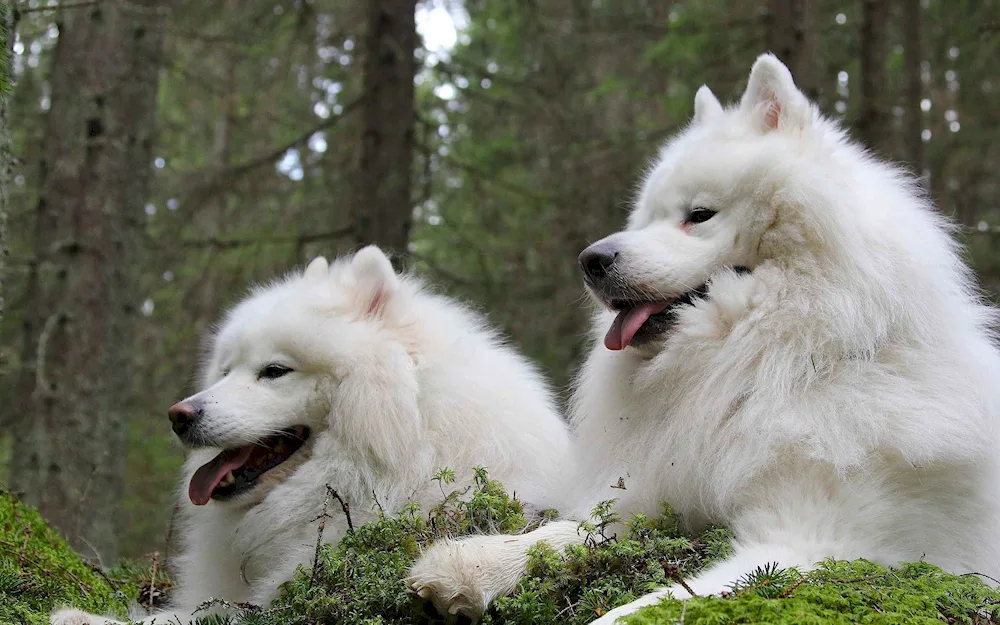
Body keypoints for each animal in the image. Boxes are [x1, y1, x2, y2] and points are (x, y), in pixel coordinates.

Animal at [406, 54, 1000, 624]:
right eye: (646, 218)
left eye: (699, 214)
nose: (590, 260)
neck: (777, 360)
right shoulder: (659, 495)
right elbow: (564, 535)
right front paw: (474, 562)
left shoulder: (811, 543)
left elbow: (651, 606)